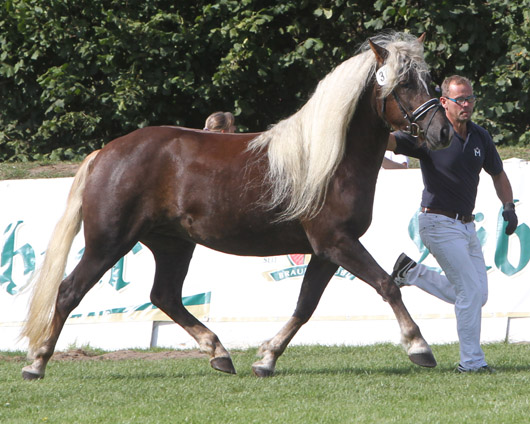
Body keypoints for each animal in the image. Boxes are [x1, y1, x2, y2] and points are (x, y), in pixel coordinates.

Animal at [21, 31, 450, 380]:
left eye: (429, 79)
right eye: (403, 82)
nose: (443, 131)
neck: (328, 161)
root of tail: (106, 153)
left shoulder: (325, 251)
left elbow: (305, 305)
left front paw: (266, 358)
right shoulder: (337, 243)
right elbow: (386, 285)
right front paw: (419, 347)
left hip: (173, 244)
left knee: (165, 297)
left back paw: (219, 353)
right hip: (109, 242)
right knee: (69, 291)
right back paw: (36, 363)